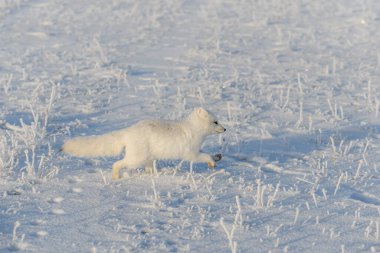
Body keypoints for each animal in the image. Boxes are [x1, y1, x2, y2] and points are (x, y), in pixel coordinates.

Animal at [59, 107, 226, 179]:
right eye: (215, 121)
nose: (225, 129)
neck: (193, 130)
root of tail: (128, 131)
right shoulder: (191, 152)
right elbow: (203, 156)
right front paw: (212, 162)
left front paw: (218, 157)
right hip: (136, 158)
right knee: (117, 163)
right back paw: (116, 177)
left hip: (147, 157)